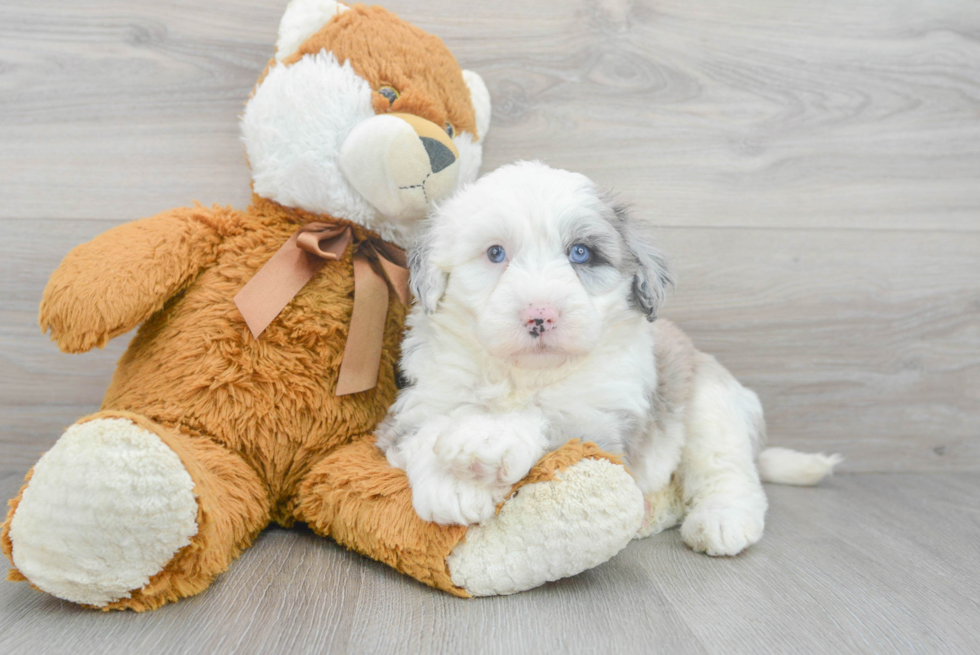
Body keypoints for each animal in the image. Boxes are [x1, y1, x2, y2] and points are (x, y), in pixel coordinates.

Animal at [378, 161, 840, 556]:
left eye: (580, 253)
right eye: (495, 253)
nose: (540, 314)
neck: (525, 376)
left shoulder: (604, 427)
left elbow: (551, 420)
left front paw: (489, 439)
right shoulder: (415, 406)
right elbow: (425, 431)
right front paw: (452, 486)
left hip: (712, 405)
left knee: (728, 472)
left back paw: (721, 522)